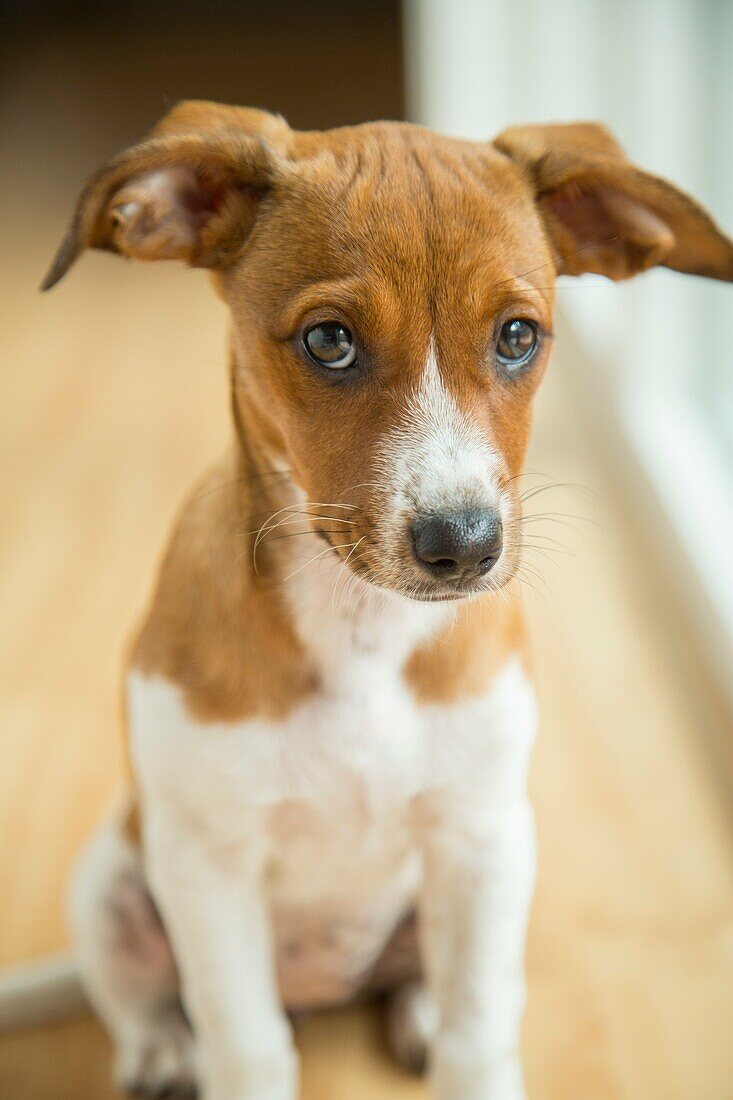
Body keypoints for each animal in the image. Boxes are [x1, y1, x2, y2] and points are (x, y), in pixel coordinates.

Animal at [37, 105, 726, 1100]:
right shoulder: (210, 865)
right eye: (329, 341)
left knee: (425, 979)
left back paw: (418, 1013)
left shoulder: (482, 840)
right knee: (139, 997)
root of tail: (321, 985)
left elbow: (480, 1037)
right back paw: (163, 1051)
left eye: (516, 336)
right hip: (110, 880)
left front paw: (462, 1048)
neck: (361, 628)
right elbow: (246, 1046)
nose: (464, 546)